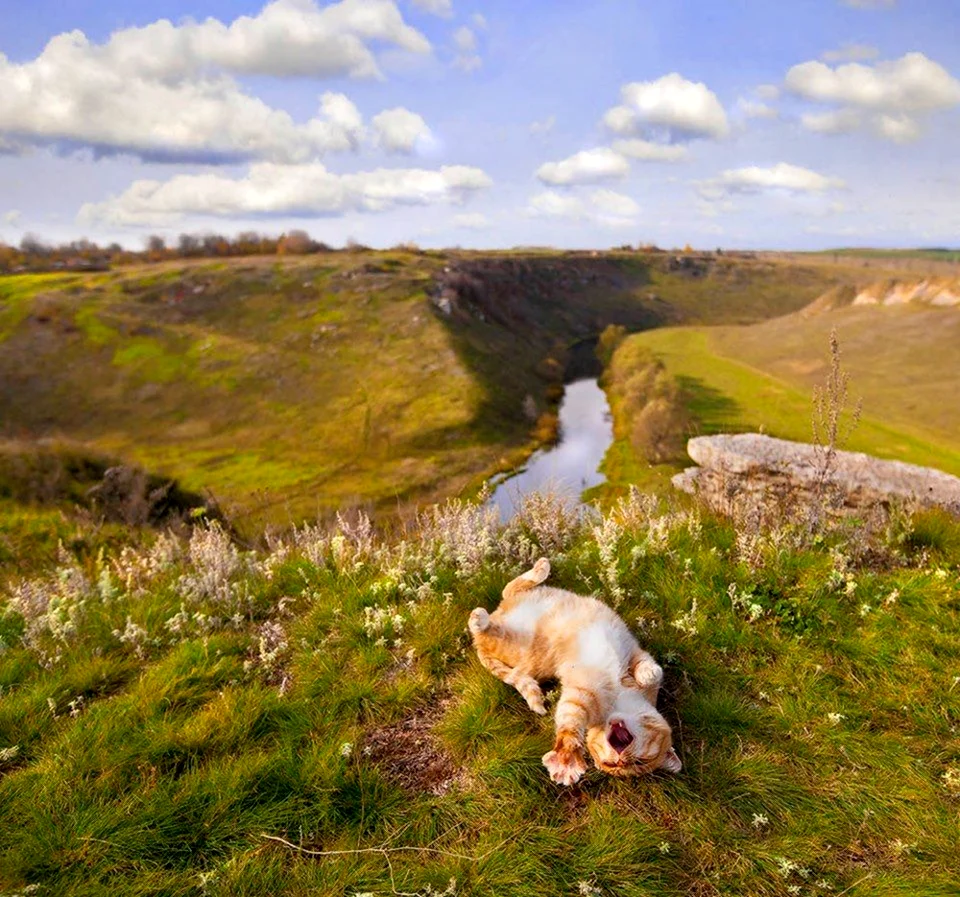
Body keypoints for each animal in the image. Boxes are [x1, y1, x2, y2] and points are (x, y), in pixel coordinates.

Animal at [466, 556, 680, 788]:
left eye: (637, 763)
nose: (621, 760)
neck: (619, 696)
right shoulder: (628, 654)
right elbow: (650, 667)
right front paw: (565, 761)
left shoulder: (584, 692)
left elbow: (570, 717)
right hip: (516, 634)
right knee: (503, 597)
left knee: (501, 607)